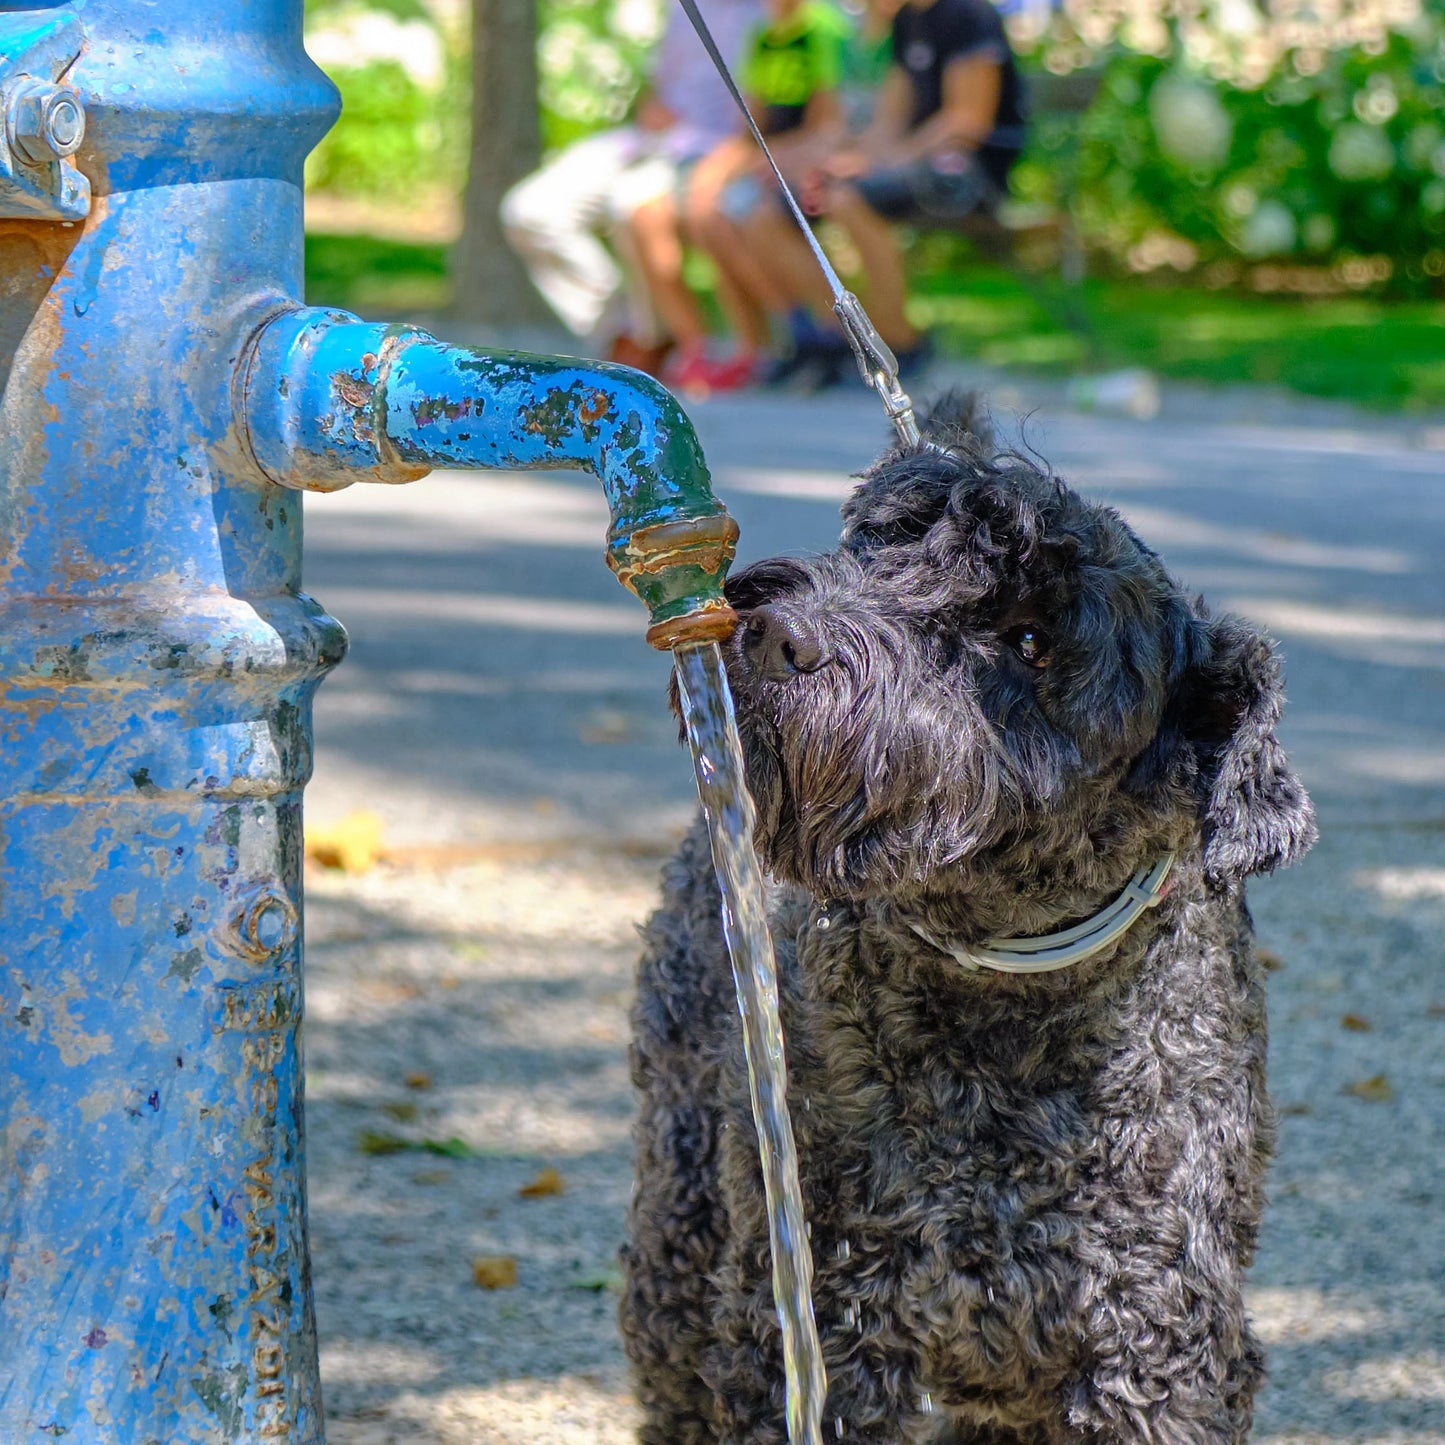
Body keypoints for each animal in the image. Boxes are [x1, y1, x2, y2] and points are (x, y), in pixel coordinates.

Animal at [618, 398, 1312, 1445]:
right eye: (886, 537)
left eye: (1027, 640)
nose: (774, 628)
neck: (1004, 1005)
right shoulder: (830, 1322)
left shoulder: (1152, 1342)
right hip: (687, 1210)